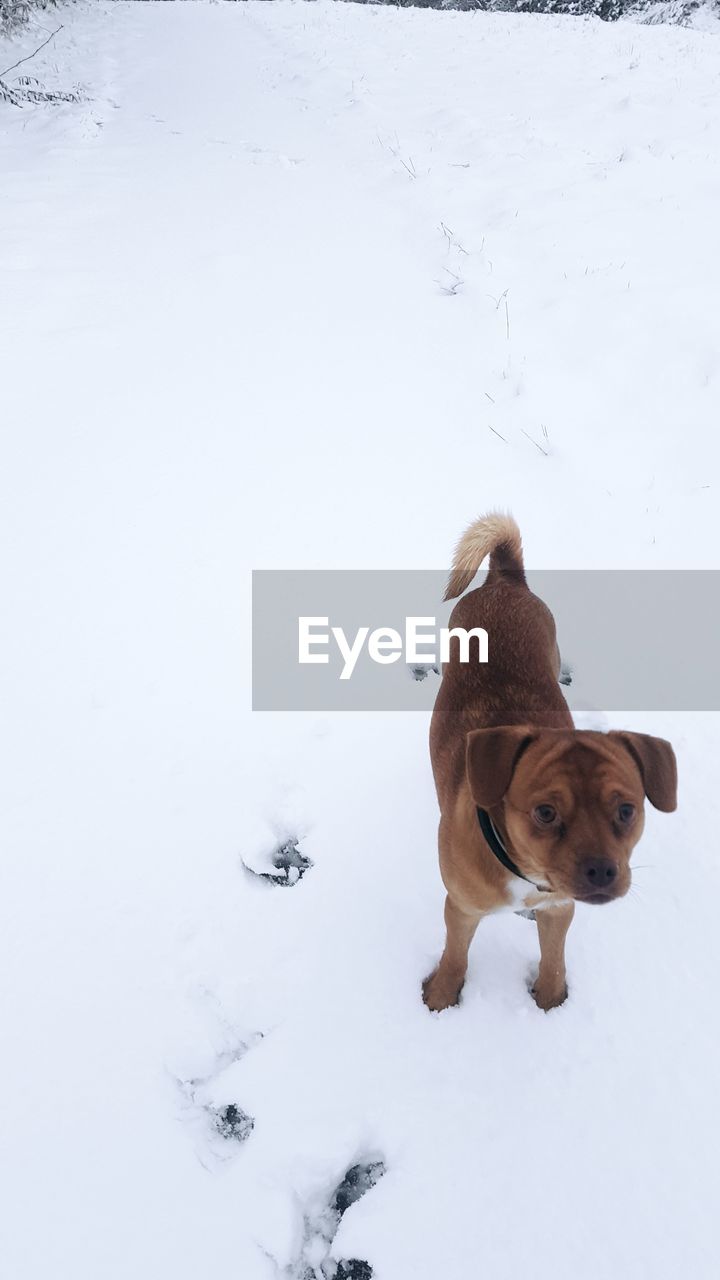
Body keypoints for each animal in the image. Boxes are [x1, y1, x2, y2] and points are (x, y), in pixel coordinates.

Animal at [420, 514, 671, 1013]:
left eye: (627, 810)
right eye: (545, 812)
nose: (602, 871)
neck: (525, 872)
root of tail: (504, 579)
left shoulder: (560, 908)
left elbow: (554, 958)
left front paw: (552, 1002)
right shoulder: (460, 909)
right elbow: (455, 956)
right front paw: (440, 997)